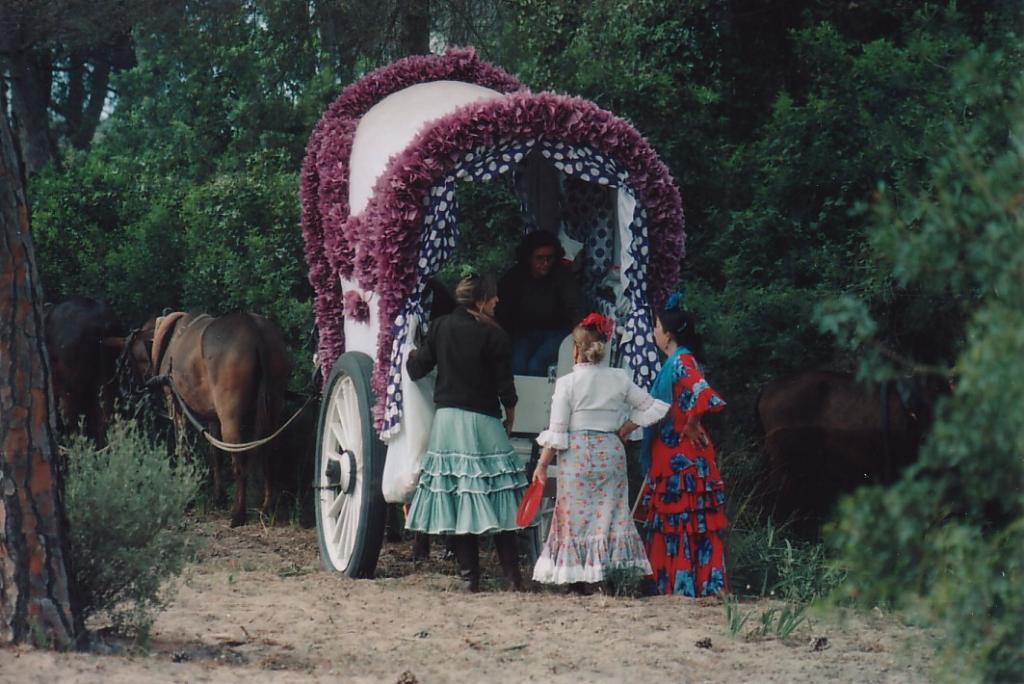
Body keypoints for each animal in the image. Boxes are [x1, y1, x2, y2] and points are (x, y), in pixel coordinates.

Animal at [126, 313, 292, 528]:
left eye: (134, 358)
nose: (138, 385)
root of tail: (256, 330)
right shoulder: (213, 418)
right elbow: (216, 456)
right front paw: (218, 497)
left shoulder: (177, 406)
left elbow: (183, 449)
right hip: (273, 406)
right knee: (269, 451)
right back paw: (266, 508)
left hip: (231, 418)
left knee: (240, 462)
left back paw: (238, 514)